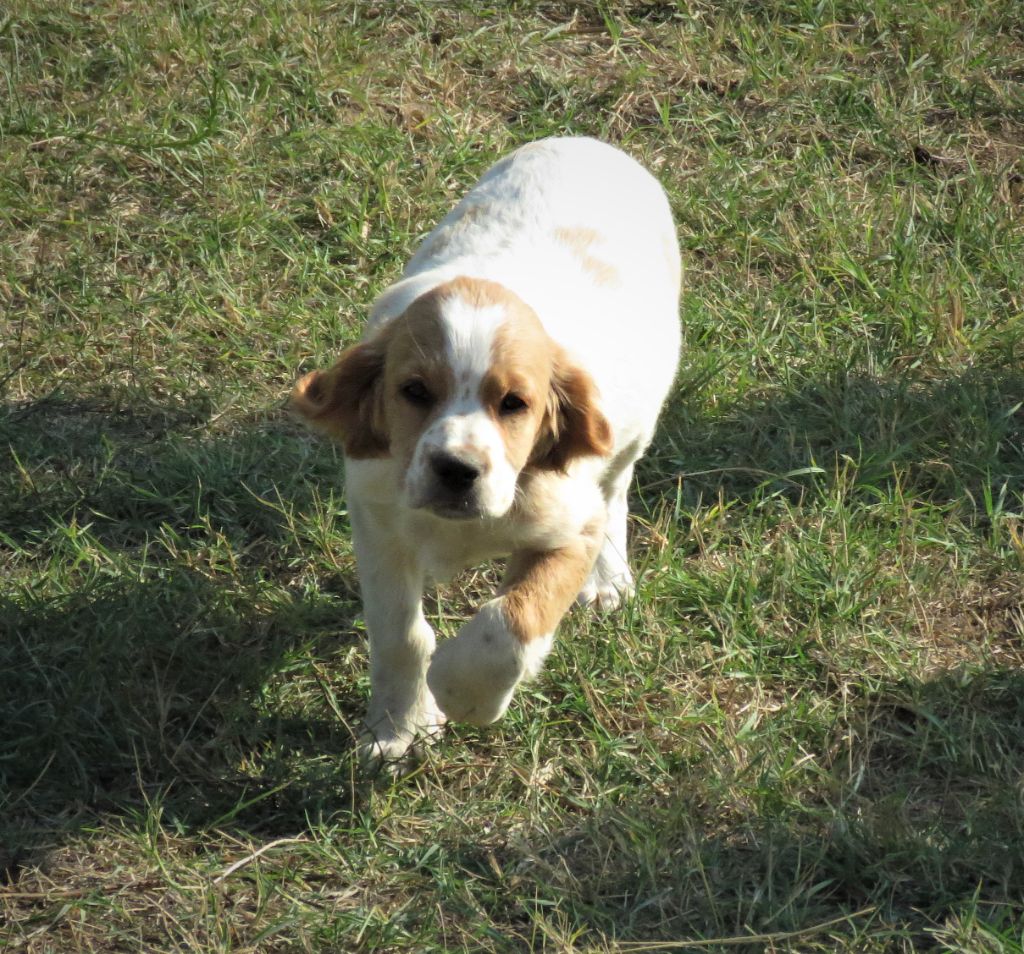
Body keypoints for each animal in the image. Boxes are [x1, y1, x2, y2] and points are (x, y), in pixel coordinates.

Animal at [294, 134, 679, 765]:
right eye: (414, 392)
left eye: (514, 403)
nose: (456, 470)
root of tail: (586, 142)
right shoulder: (378, 523)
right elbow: (400, 634)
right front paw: (397, 728)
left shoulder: (569, 530)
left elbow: (510, 622)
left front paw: (461, 693)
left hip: (639, 416)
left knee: (616, 487)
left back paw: (608, 577)